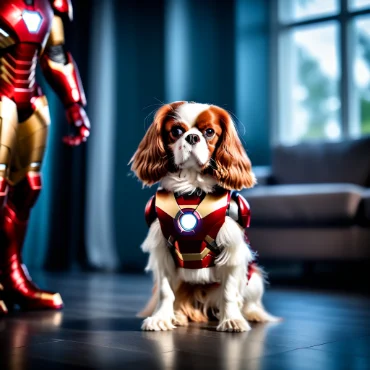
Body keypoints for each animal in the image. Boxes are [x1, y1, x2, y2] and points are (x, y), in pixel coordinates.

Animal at [130, 101, 278, 332]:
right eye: (176, 131)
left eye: (209, 132)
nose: (192, 137)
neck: (191, 190)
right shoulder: (162, 251)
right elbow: (165, 291)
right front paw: (161, 318)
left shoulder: (232, 251)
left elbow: (229, 292)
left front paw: (232, 320)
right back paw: (178, 316)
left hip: (253, 279)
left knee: (248, 299)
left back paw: (253, 314)